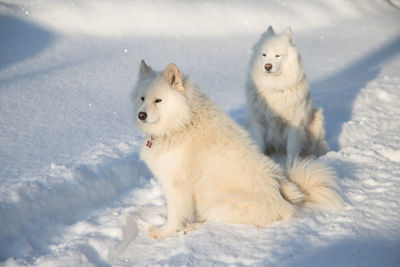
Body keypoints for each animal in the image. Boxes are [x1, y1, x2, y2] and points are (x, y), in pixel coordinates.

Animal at [131, 60, 340, 241]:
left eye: (158, 100)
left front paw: (163, 232)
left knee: (212, 222)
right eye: (142, 98)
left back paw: (191, 228)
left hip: (218, 204)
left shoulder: (177, 185)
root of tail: (284, 201)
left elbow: (175, 215)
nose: (141, 115)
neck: (181, 124)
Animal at [245, 26, 330, 163]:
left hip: (317, 117)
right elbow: (259, 144)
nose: (267, 66)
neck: (274, 87)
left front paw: (292, 165)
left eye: (278, 55)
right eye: (264, 55)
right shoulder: (257, 121)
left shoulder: (294, 124)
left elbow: (292, 149)